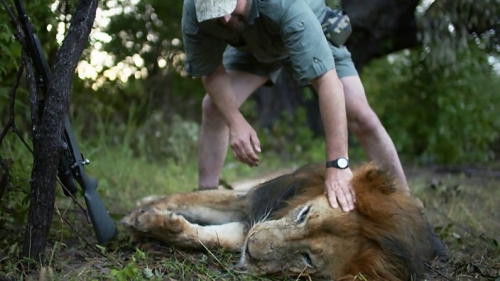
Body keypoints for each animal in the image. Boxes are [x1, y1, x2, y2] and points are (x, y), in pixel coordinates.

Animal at [121, 163, 442, 278]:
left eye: (307, 259)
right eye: (303, 214)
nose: (252, 248)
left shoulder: (246, 228)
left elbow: (207, 236)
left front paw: (152, 224)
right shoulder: (252, 201)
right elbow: (191, 197)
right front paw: (142, 213)